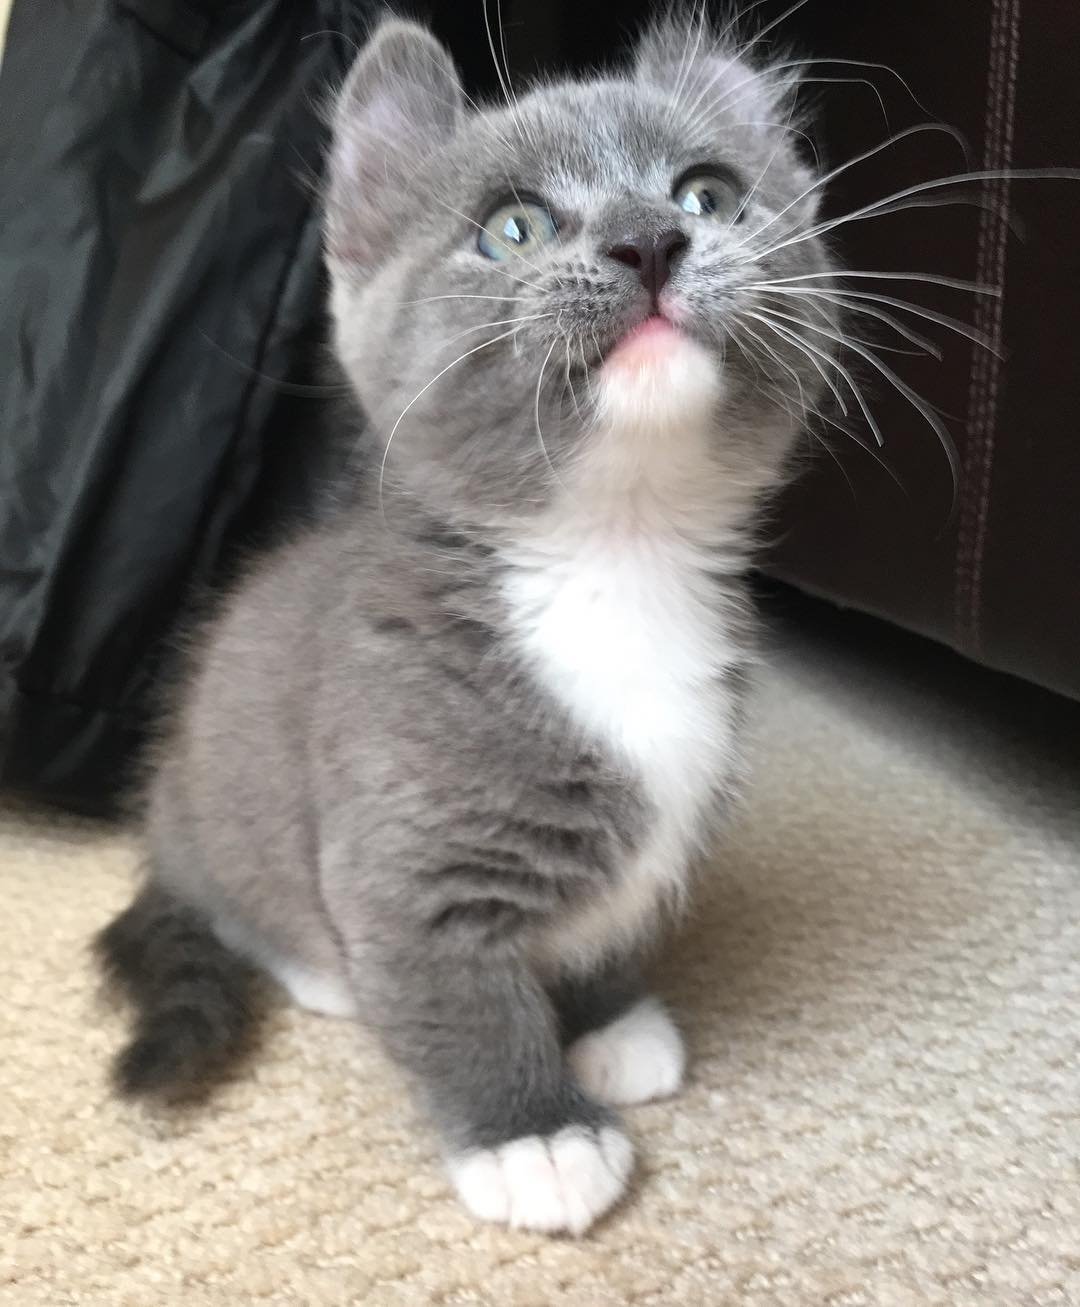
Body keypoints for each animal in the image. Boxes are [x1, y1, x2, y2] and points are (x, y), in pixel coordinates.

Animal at [96, 17, 831, 1233]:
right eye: (513, 227)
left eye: (711, 192)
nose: (650, 239)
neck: (613, 560)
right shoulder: (401, 836)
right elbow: (456, 991)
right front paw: (534, 1132)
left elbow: (613, 914)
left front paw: (607, 1016)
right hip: (223, 819)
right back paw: (320, 971)